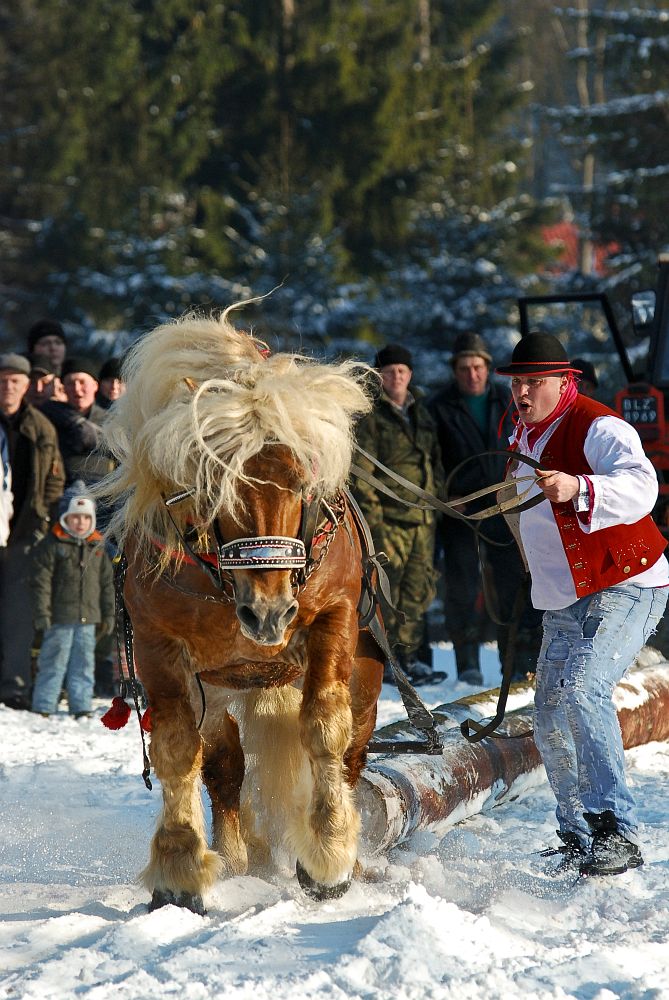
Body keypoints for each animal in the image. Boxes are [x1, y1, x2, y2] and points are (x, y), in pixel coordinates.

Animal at [96, 314, 384, 916]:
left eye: (301, 480)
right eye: (216, 482)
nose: (269, 613)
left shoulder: (336, 617)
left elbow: (324, 727)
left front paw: (328, 854)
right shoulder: (159, 644)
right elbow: (177, 749)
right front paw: (180, 869)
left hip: (364, 676)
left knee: (352, 750)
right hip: (221, 688)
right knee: (226, 769)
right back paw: (238, 857)